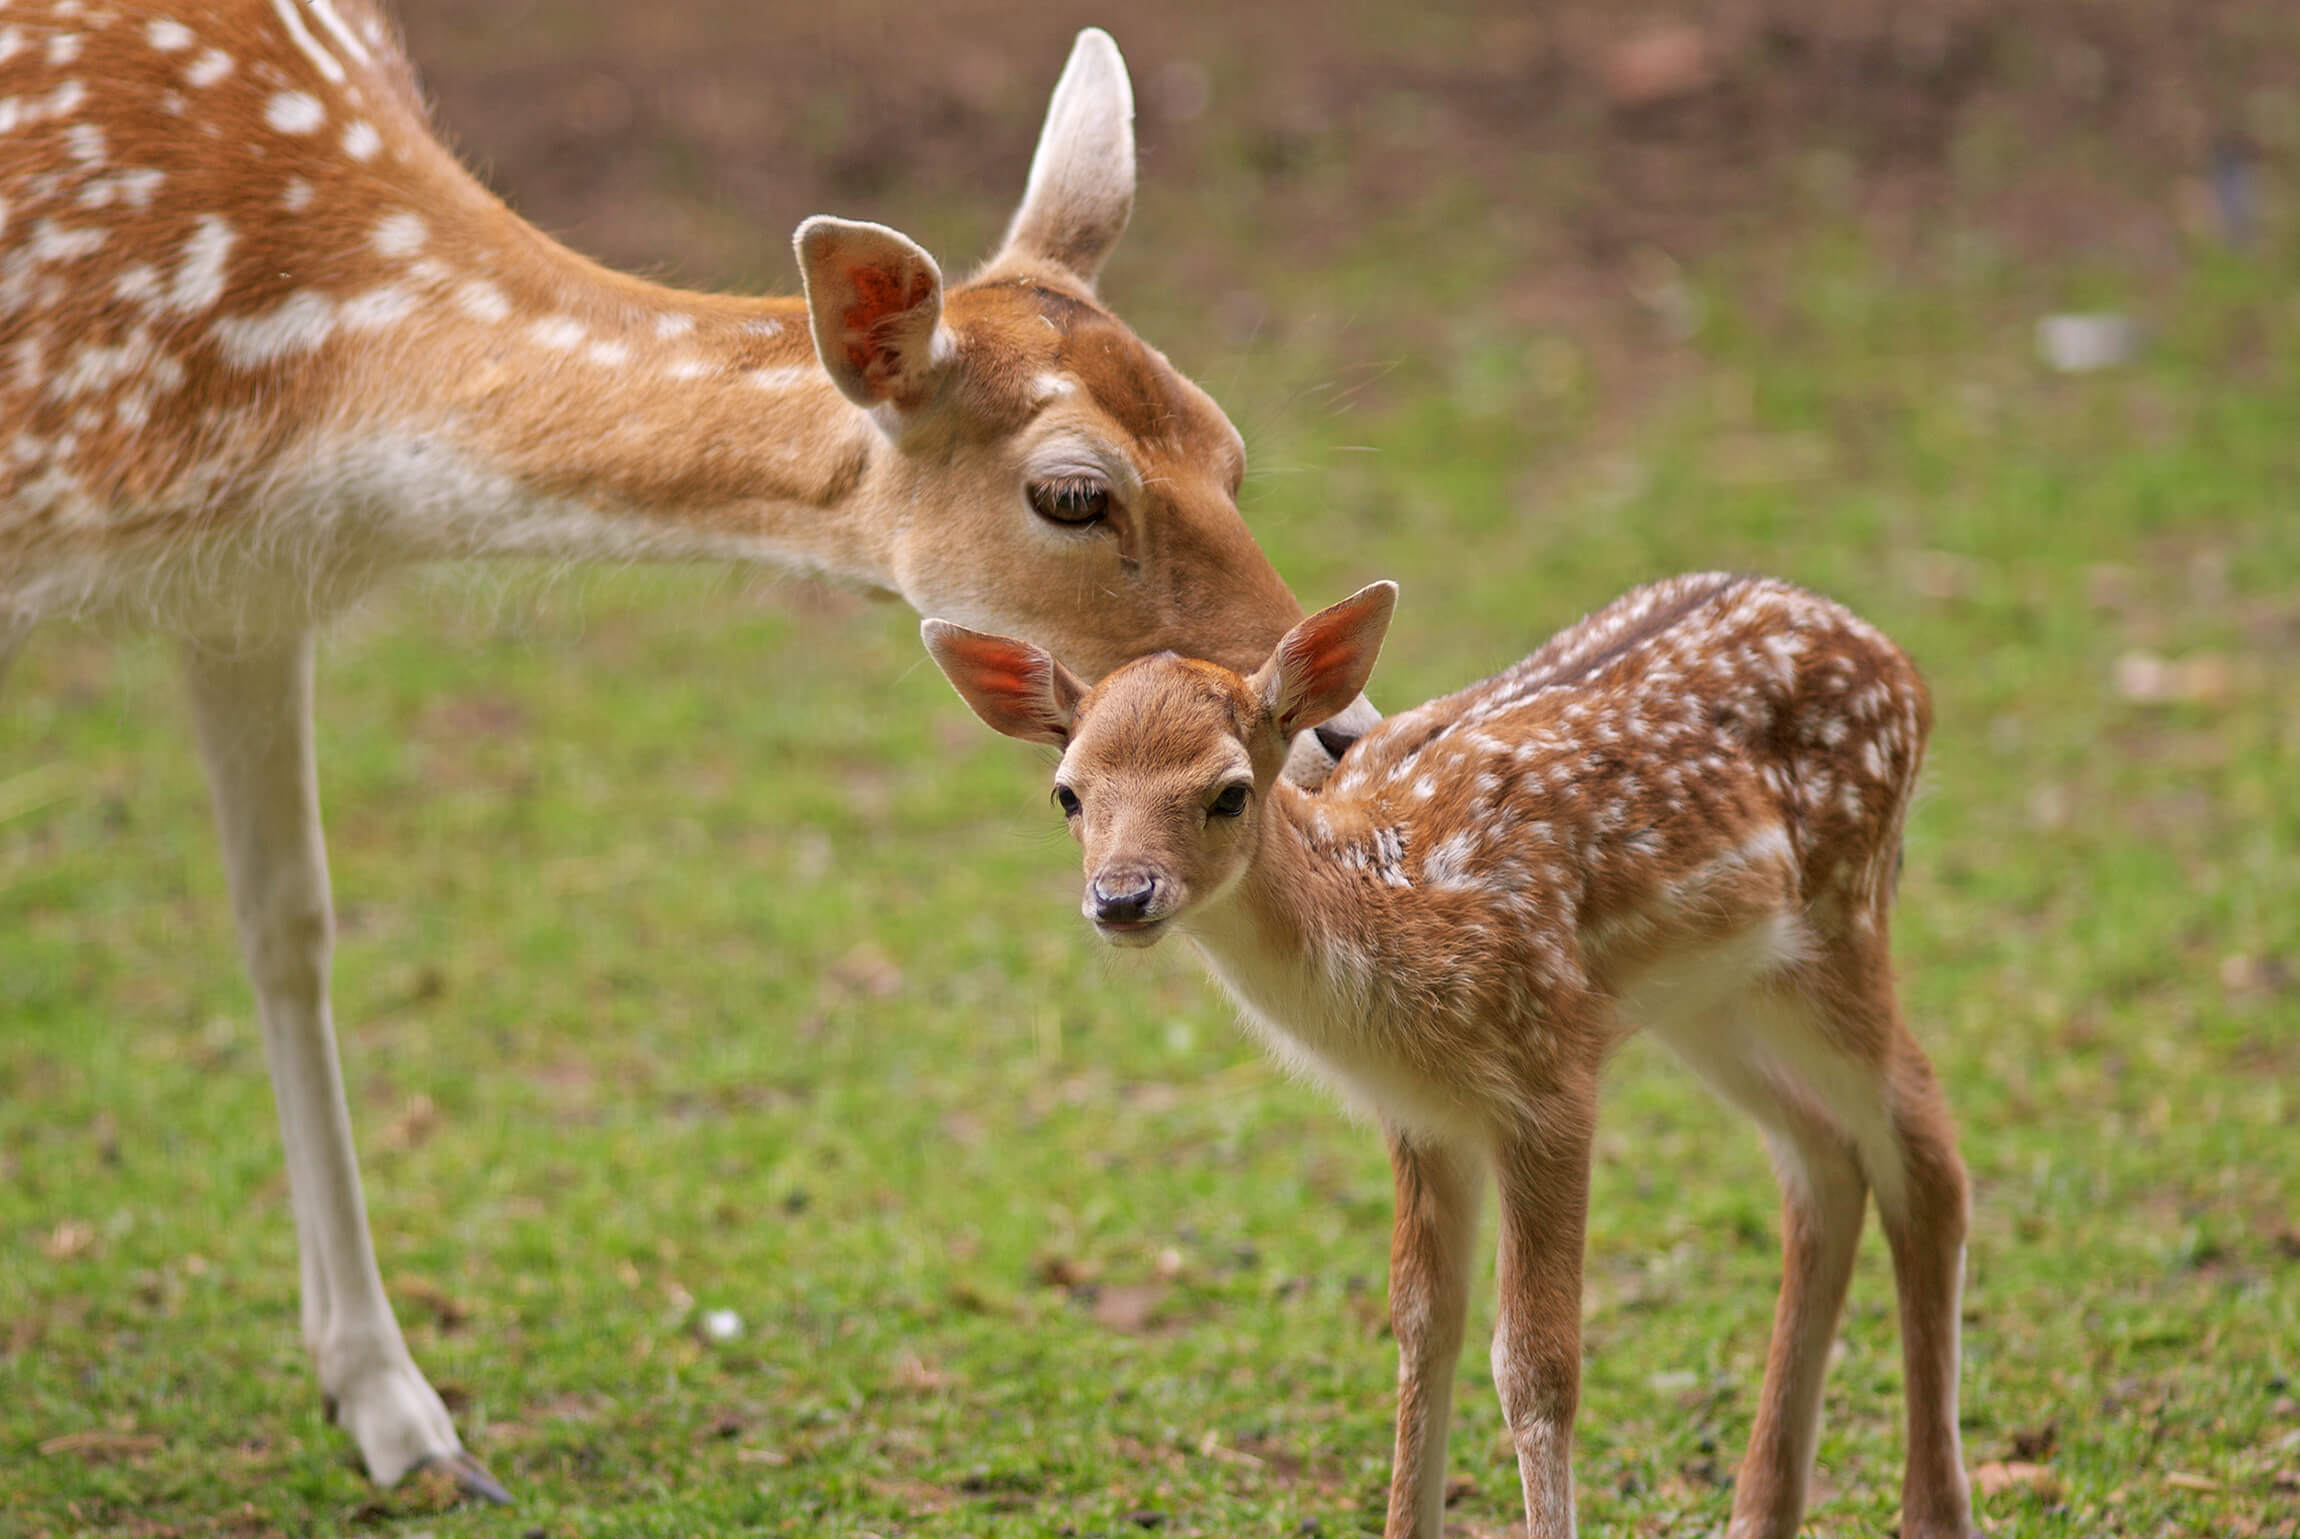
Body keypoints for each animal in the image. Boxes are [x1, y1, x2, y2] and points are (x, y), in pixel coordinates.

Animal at [0, 0, 1361, 1490]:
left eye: (1227, 446)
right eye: (1070, 492)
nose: (1340, 722)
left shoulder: (242, 588)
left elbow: (288, 929)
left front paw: (394, 1410)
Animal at [929, 575, 1978, 1536]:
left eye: (1228, 792)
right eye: (1068, 792)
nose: (1122, 894)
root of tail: (1902, 664)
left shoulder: (1551, 1071)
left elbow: (1538, 1364)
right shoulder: (1422, 1114)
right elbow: (1422, 1325)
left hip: (1843, 915)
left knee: (1927, 1144)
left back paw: (1934, 1511)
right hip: (1717, 995)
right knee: (1824, 1159)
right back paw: (1762, 1512)